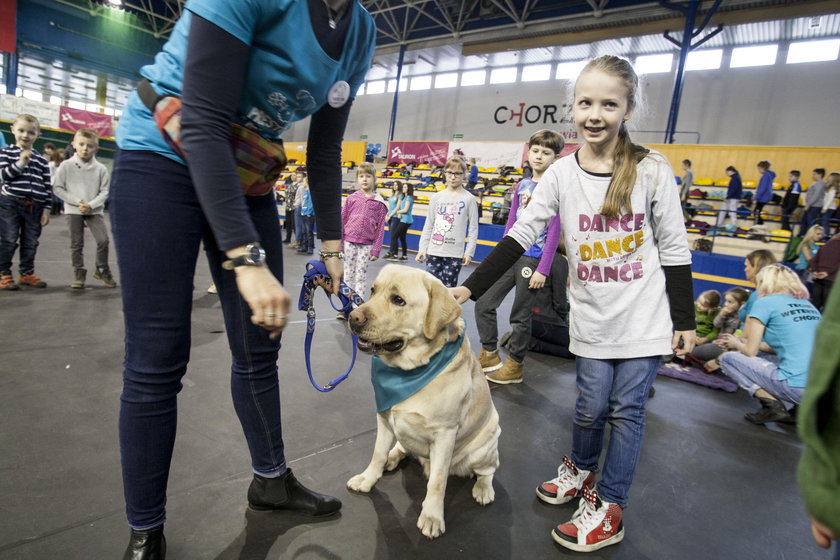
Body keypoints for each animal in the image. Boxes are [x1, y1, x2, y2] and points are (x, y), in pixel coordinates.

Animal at [346, 266, 498, 540]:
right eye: (373, 290)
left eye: (398, 300)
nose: (353, 317)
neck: (409, 371)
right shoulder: (384, 418)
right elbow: (377, 454)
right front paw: (368, 479)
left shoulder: (445, 434)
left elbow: (437, 482)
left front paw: (432, 516)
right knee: (402, 448)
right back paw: (393, 457)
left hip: (487, 442)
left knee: (488, 470)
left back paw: (483, 489)